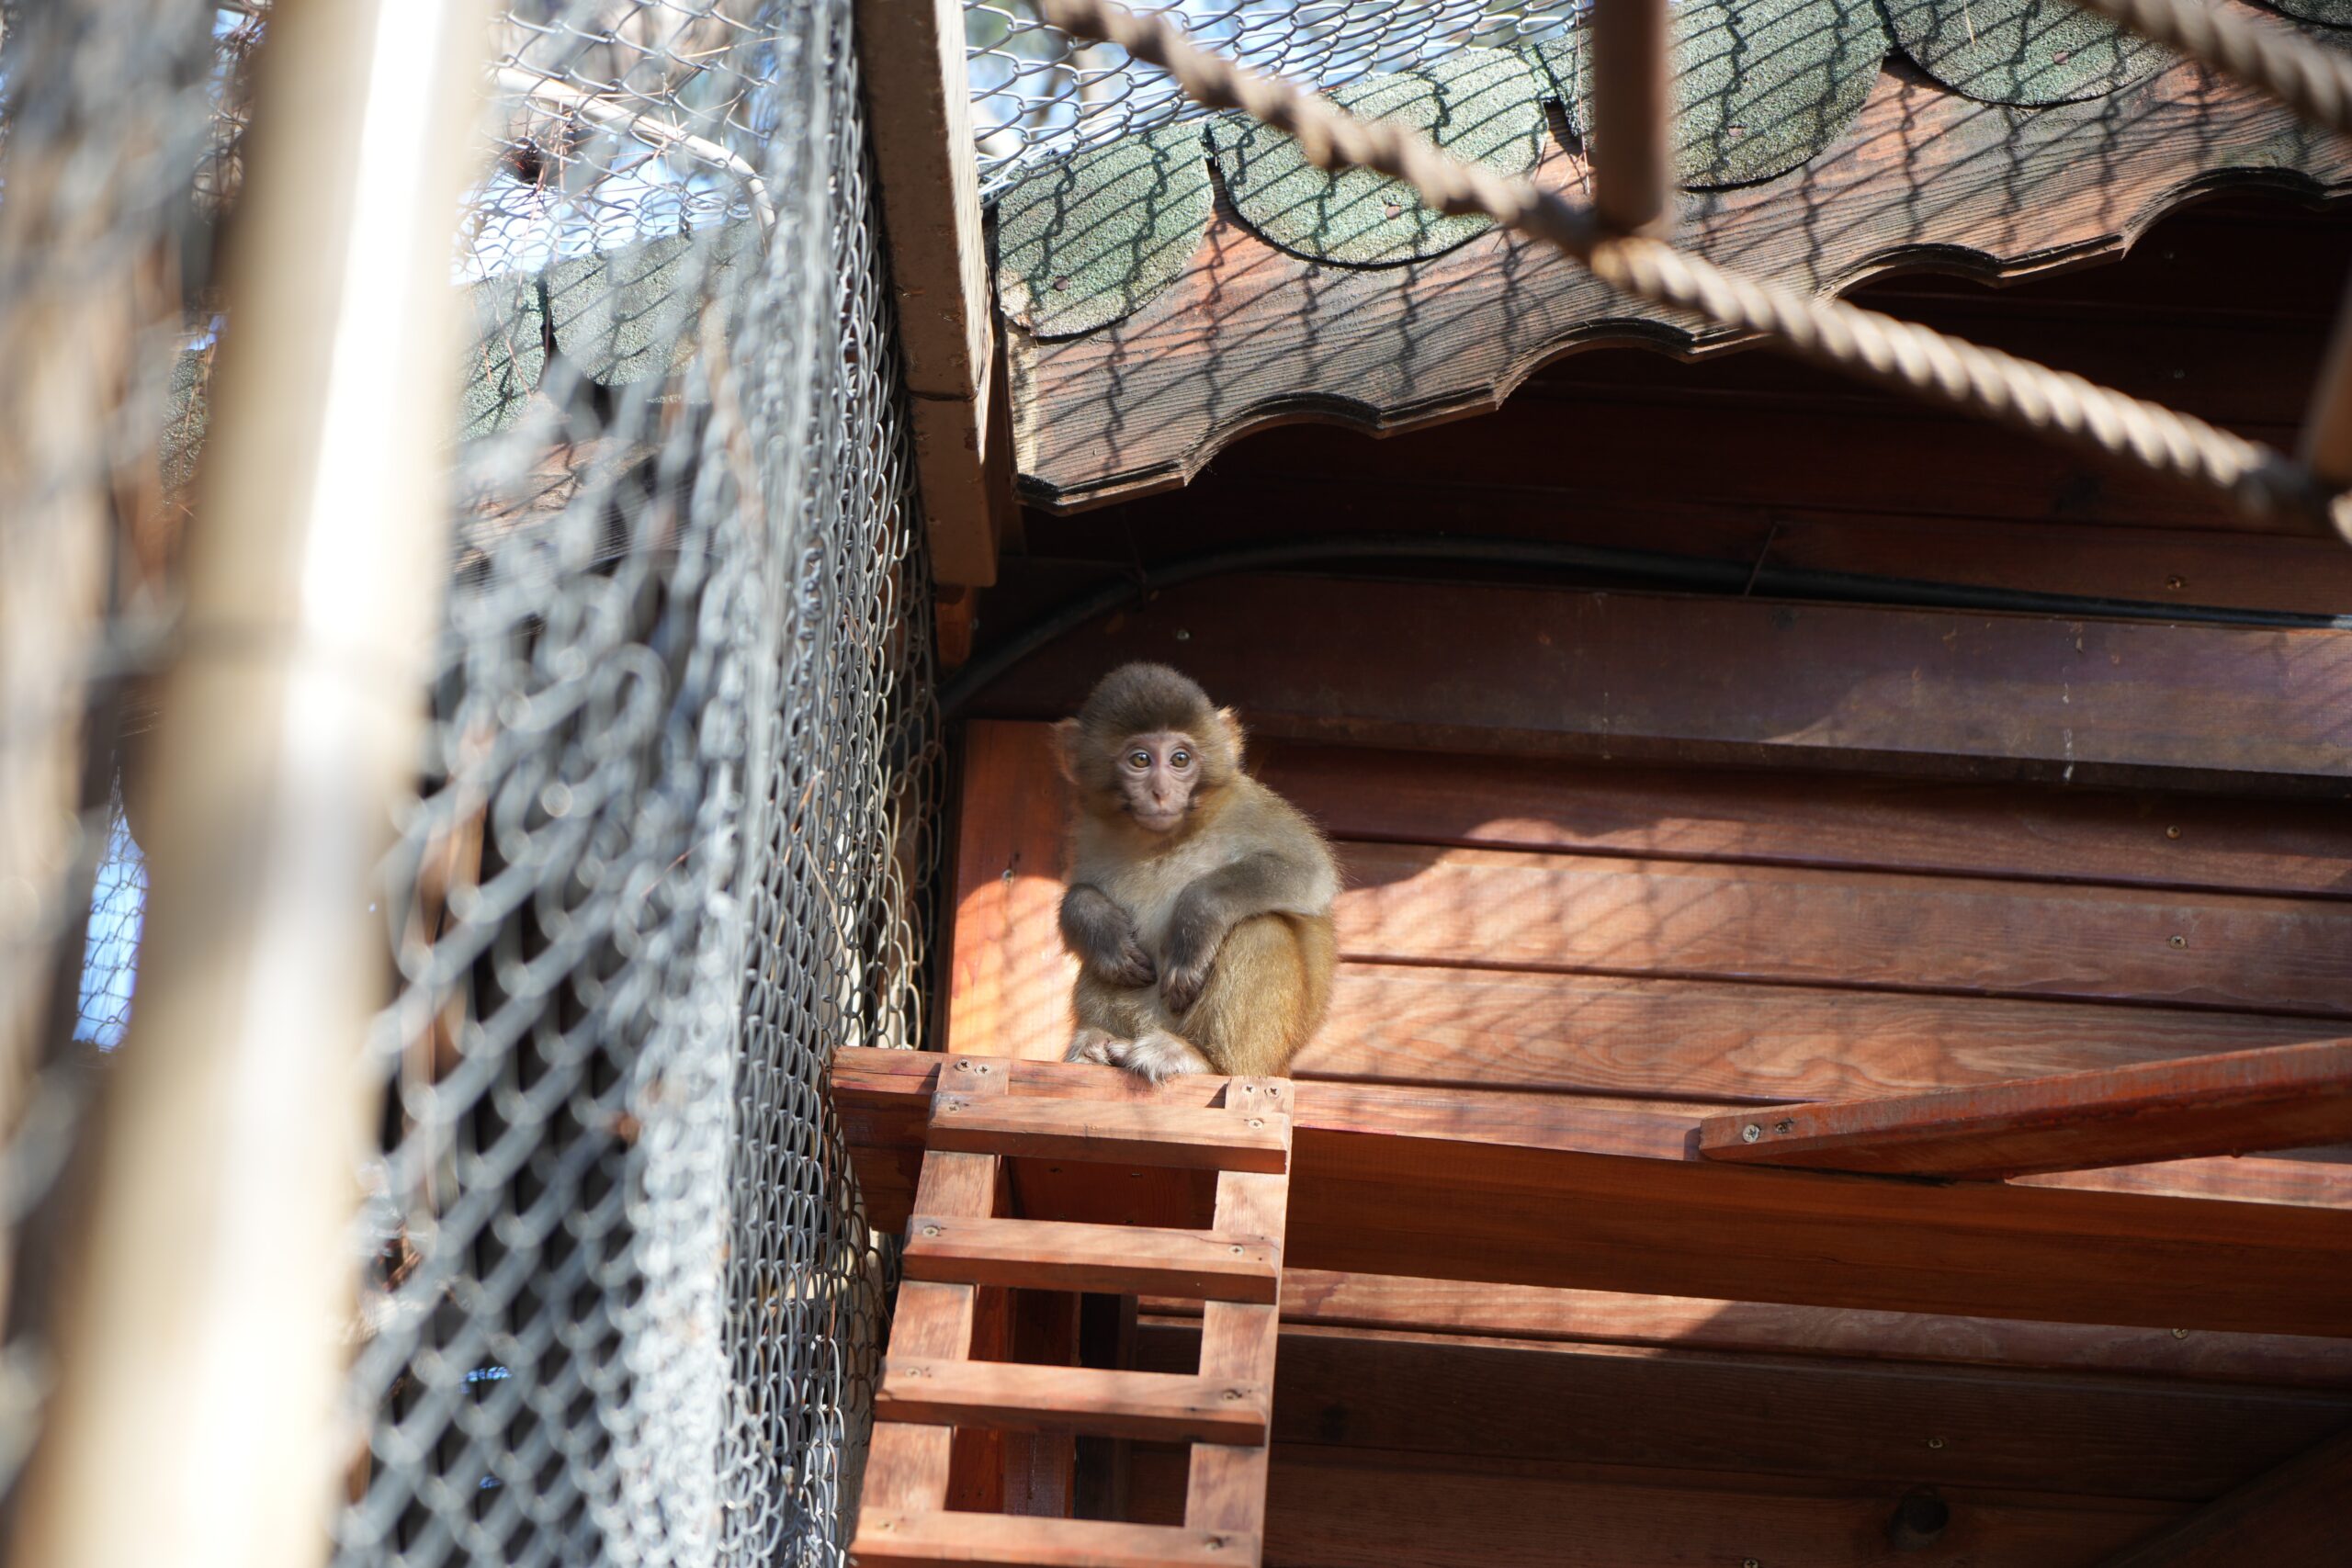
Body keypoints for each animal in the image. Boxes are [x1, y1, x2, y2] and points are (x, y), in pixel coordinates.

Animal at [1053, 658, 1336, 1081]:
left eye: (1180, 759)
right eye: (1140, 759)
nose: (1160, 793)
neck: (1167, 841)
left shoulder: (1249, 806)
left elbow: (1311, 874)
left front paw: (1197, 919)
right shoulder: (1089, 831)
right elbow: (1081, 893)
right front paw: (1095, 920)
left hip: (1260, 1059)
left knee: (1261, 927)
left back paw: (1198, 1058)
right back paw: (1098, 1043)